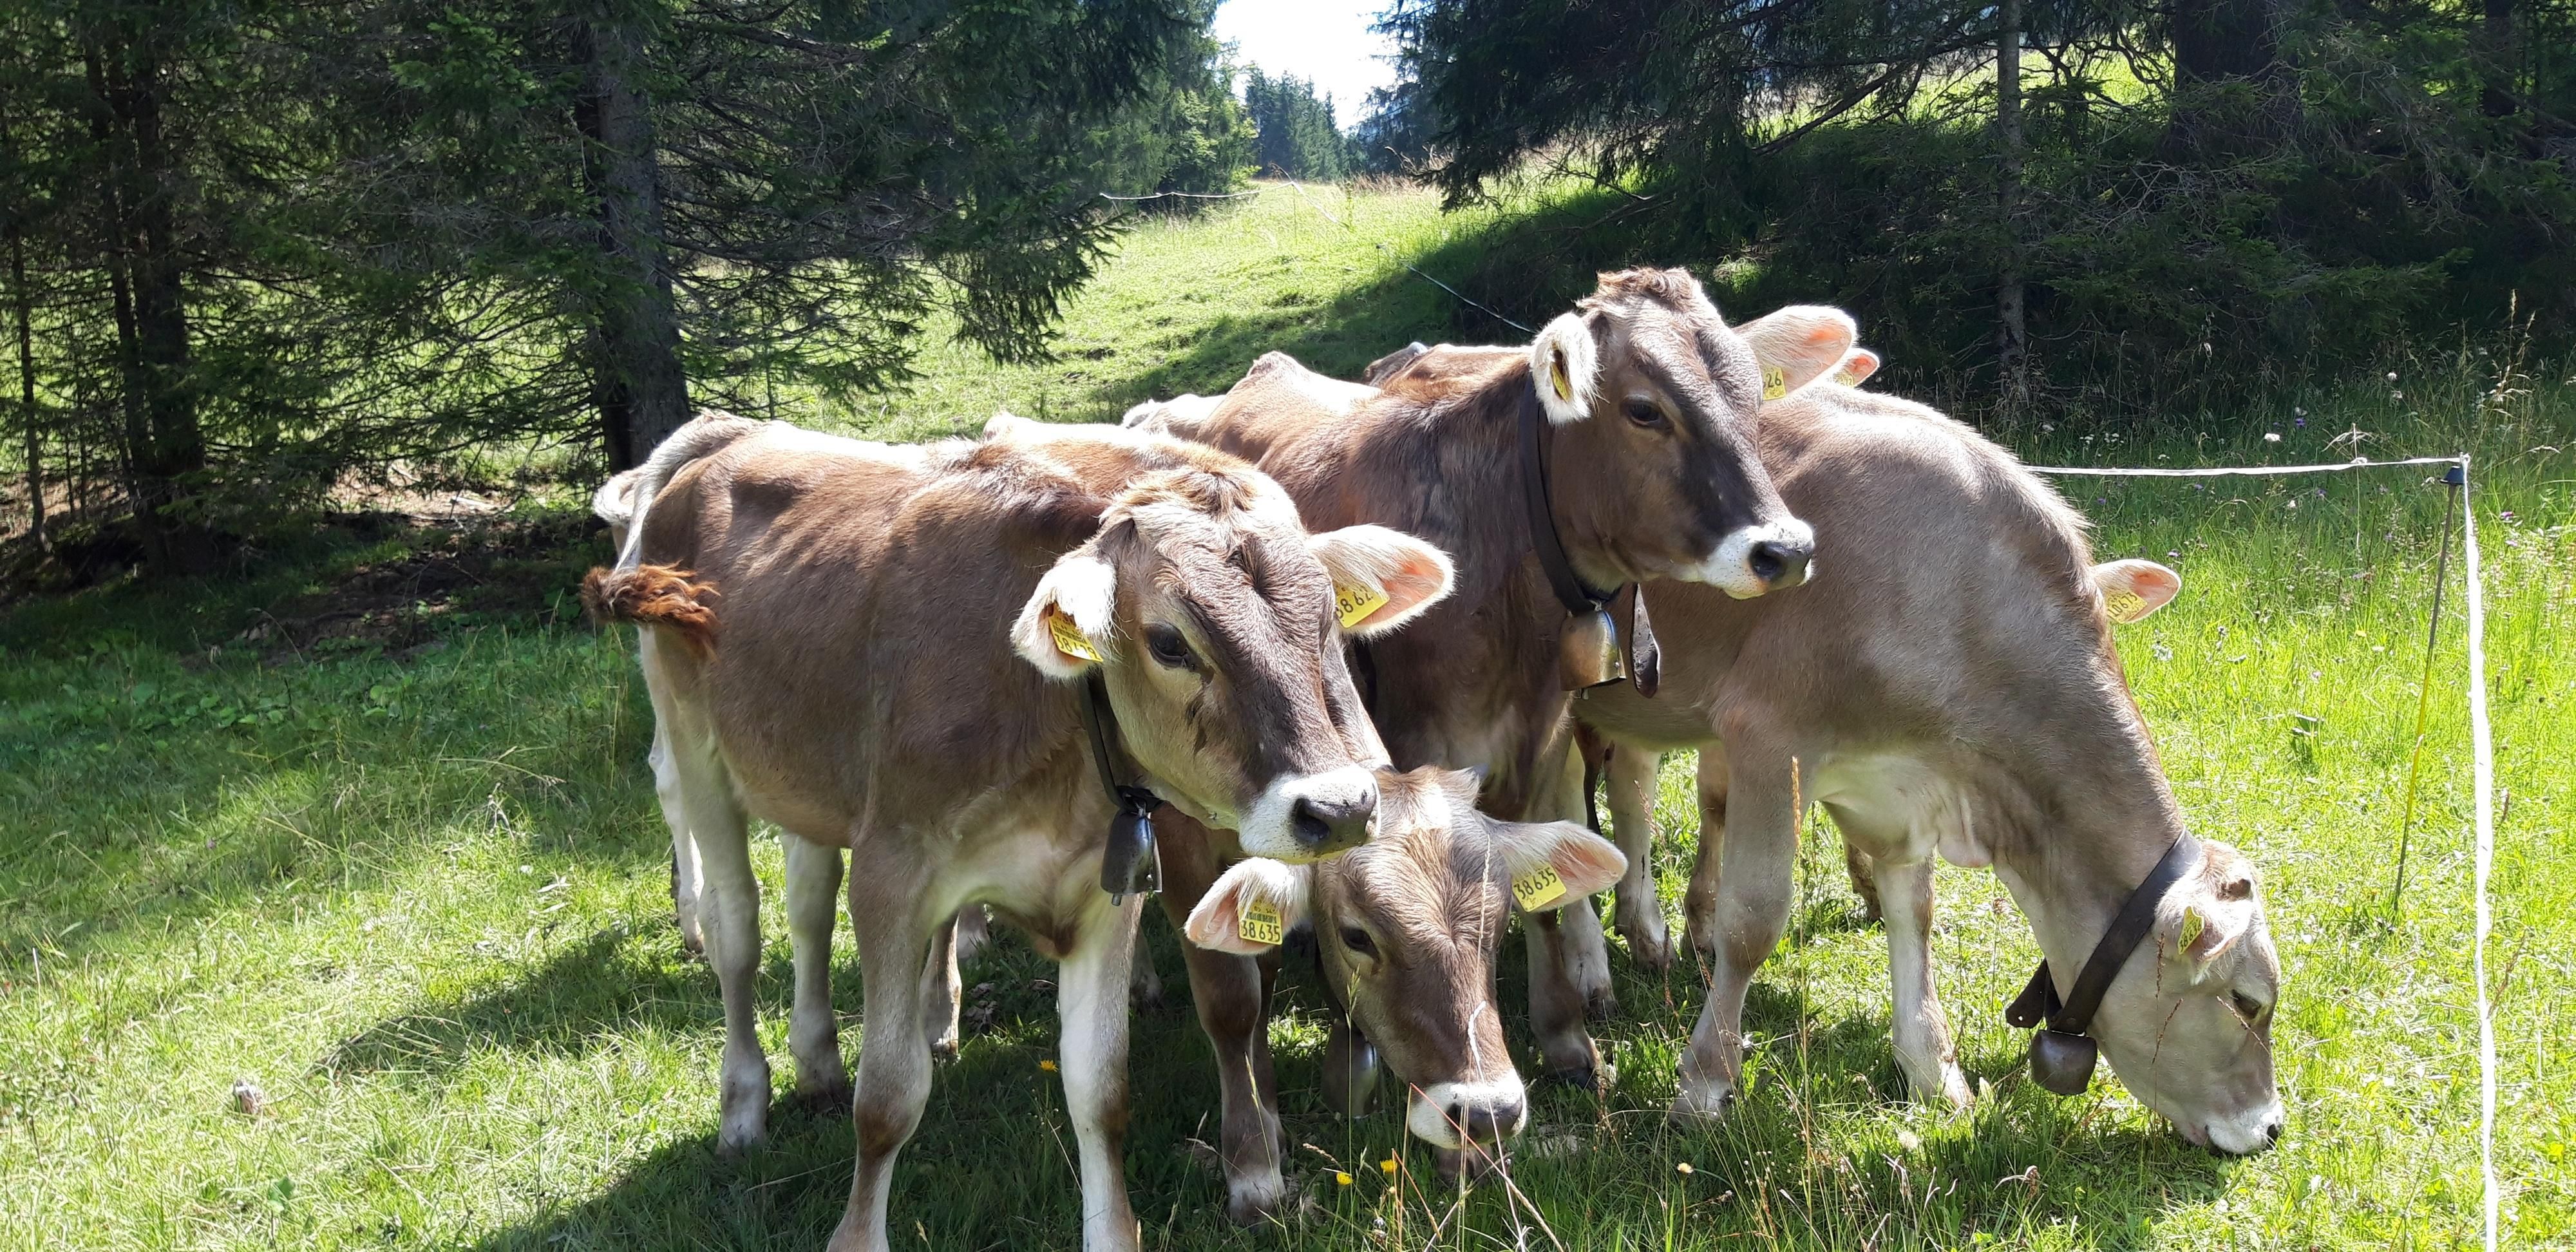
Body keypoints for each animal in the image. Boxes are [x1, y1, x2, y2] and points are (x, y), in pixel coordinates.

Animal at [584, 411, 1459, 1252]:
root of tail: (729, 438)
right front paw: (857, 1233)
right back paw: (743, 1105)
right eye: (1169, 641)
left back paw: (819, 1062)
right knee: (737, 928)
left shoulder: (1106, 893)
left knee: (806, 905)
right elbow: (888, 1099)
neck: (1049, 719)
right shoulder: (892, 874)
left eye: (1327, 618)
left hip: (814, 781)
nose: (1337, 808)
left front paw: (1112, 1233)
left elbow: (1100, 1089)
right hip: (695, 743)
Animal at [1101, 270, 1858, 1219]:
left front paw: (1565, 1038)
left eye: (1755, 396)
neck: (1498, 561)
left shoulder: (1534, 740)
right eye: (1644, 409)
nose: (1783, 550)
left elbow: (1537, 889)